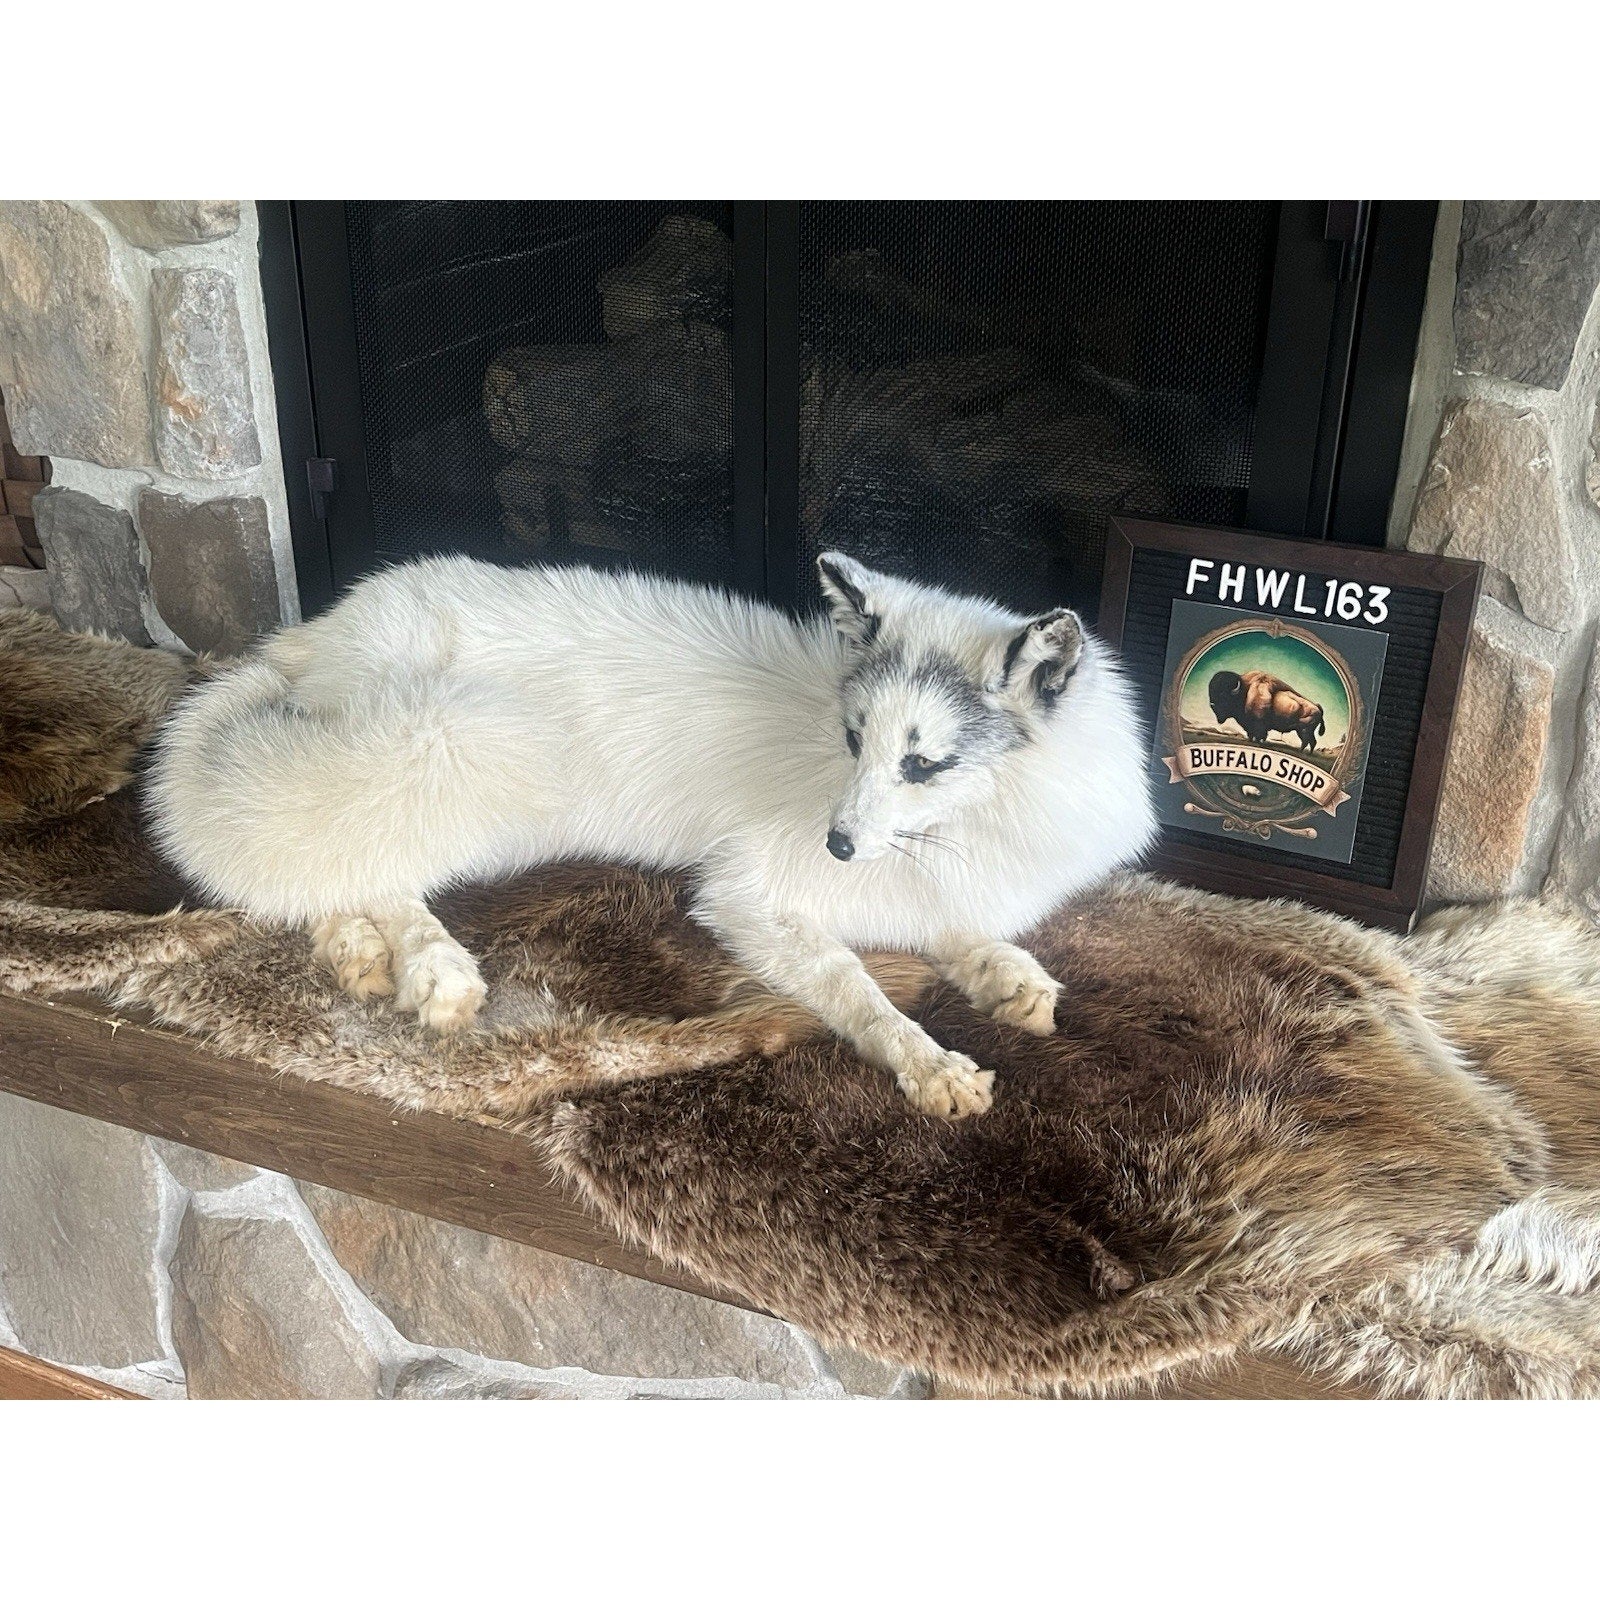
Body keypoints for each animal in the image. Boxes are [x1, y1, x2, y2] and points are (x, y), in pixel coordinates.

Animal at [146, 551, 1157, 1119]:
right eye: (854, 739)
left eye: (922, 763)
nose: (834, 845)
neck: (980, 827)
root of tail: (320, 629)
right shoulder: (745, 892)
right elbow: (858, 989)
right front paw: (928, 1061)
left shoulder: (923, 879)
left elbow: (956, 933)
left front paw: (1007, 976)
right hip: (462, 756)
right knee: (365, 857)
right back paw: (431, 968)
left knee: (321, 862)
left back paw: (354, 951)